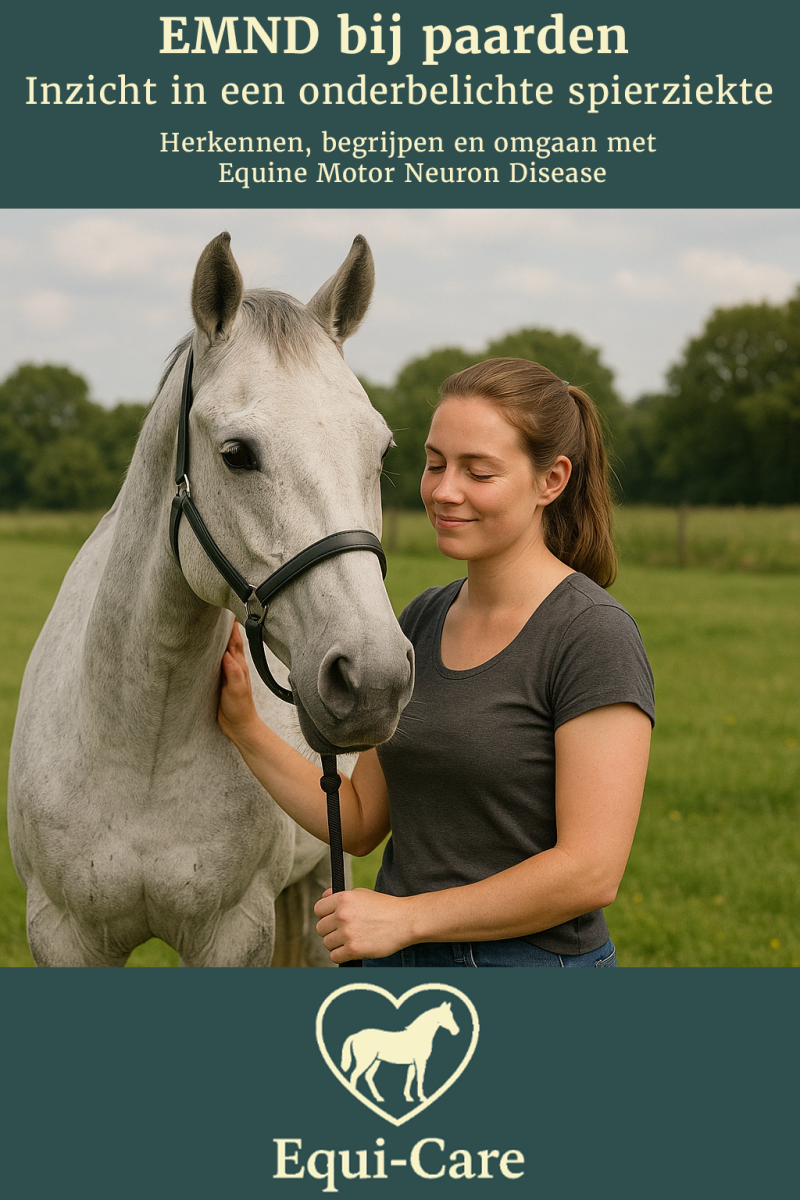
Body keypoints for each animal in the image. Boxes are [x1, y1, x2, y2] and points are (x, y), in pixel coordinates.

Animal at [7, 231, 414, 967]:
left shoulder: (233, 931)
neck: (139, 741)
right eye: (237, 453)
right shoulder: (60, 933)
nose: (374, 679)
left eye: (381, 451)